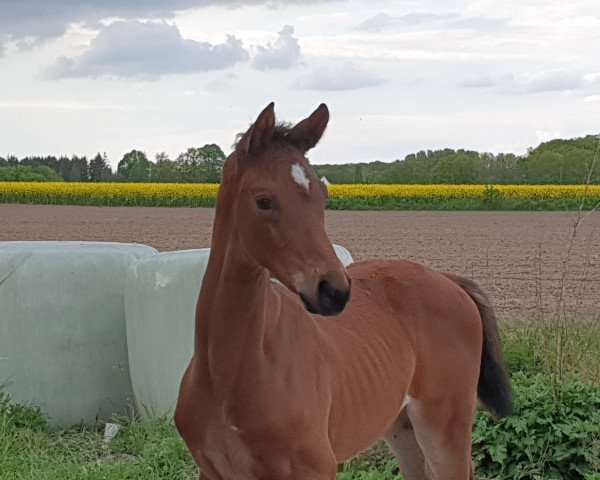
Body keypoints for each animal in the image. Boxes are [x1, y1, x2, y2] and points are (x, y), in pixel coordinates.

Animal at [175, 103, 510, 480]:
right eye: (263, 201)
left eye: (323, 197)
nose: (333, 291)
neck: (228, 376)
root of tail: (449, 280)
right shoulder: (212, 472)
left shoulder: (316, 469)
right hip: (402, 427)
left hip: (444, 427)